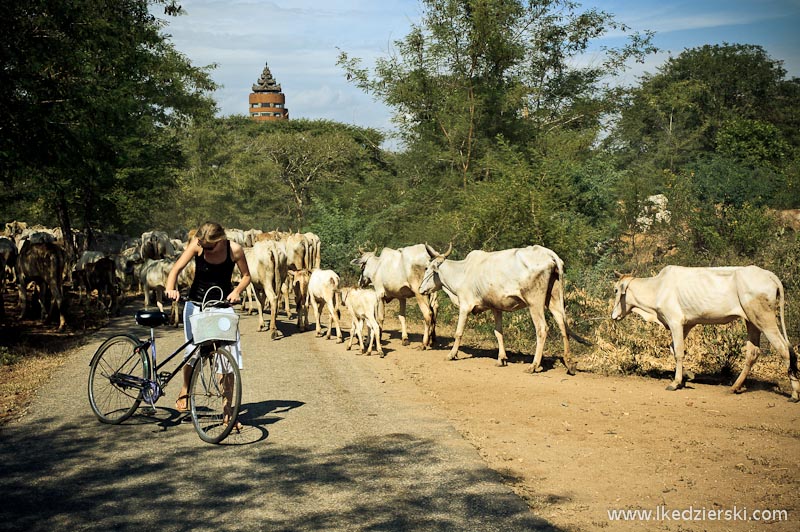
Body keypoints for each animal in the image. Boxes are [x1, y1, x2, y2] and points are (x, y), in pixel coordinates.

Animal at [418, 245, 580, 374]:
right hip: (554, 300)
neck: (462, 272)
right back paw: (570, 363)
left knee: (542, 329)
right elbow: (498, 333)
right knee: (562, 326)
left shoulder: (465, 306)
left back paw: (533, 366)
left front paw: (451, 355)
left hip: (535, 302)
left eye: (428, 269)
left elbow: (458, 333)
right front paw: (501, 358)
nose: (420, 289)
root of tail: (549, 254)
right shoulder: (496, 307)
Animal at [616, 264, 796, 400]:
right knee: (753, 353)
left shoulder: (675, 321)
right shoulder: (686, 324)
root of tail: (769, 275)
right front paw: (688, 375)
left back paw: (794, 393)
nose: (613, 315)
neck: (657, 287)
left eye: (616, 290)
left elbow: (678, 352)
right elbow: (674, 349)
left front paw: (675, 382)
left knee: (784, 349)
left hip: (765, 320)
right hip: (751, 321)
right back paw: (735, 387)